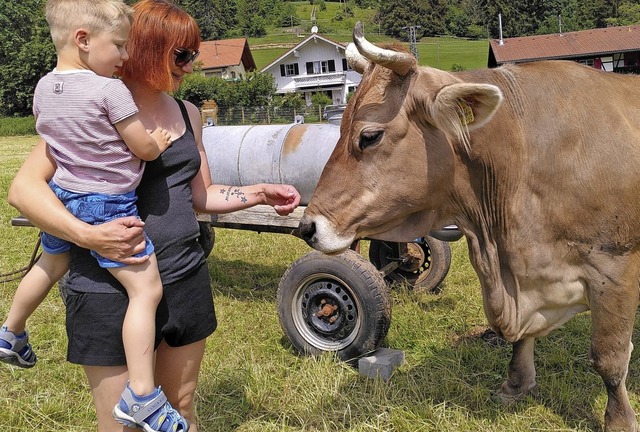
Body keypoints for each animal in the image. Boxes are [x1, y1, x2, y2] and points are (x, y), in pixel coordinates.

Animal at [298, 23, 640, 432]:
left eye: (369, 136)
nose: (307, 226)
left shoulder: (615, 269)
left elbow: (608, 356)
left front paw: (619, 420)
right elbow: (520, 337)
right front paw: (515, 384)